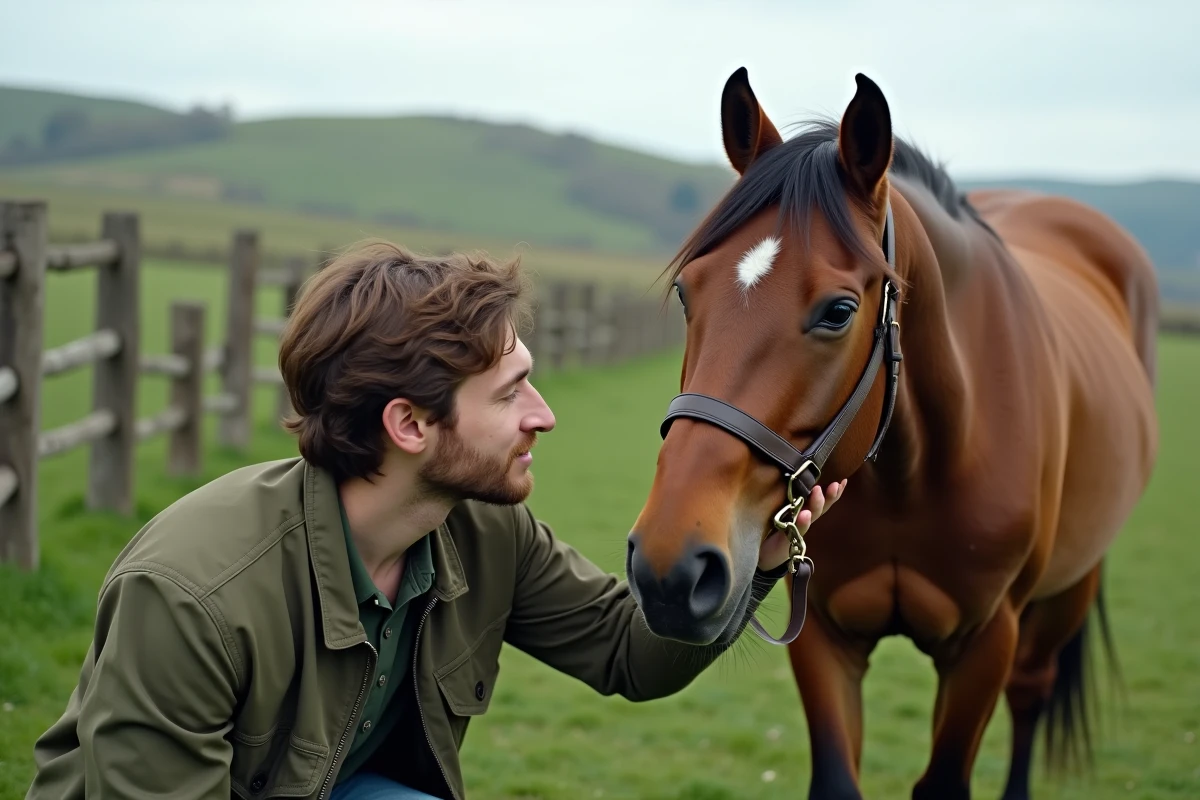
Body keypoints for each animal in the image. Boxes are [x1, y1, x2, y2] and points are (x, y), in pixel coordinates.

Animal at [624, 68, 1159, 799]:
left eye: (839, 311)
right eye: (686, 292)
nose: (671, 568)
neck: (915, 471)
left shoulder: (985, 644)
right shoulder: (823, 633)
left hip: (1068, 591)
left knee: (1031, 694)